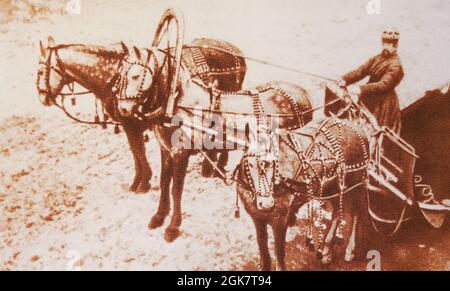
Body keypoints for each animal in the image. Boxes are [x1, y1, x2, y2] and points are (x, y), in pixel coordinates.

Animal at [236, 117, 370, 272]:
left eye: (272, 163)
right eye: (250, 164)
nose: (267, 203)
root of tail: (360, 130)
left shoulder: (280, 219)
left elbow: (279, 252)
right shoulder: (257, 218)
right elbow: (262, 246)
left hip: (356, 183)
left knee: (357, 211)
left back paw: (349, 250)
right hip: (332, 186)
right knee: (337, 210)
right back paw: (326, 250)